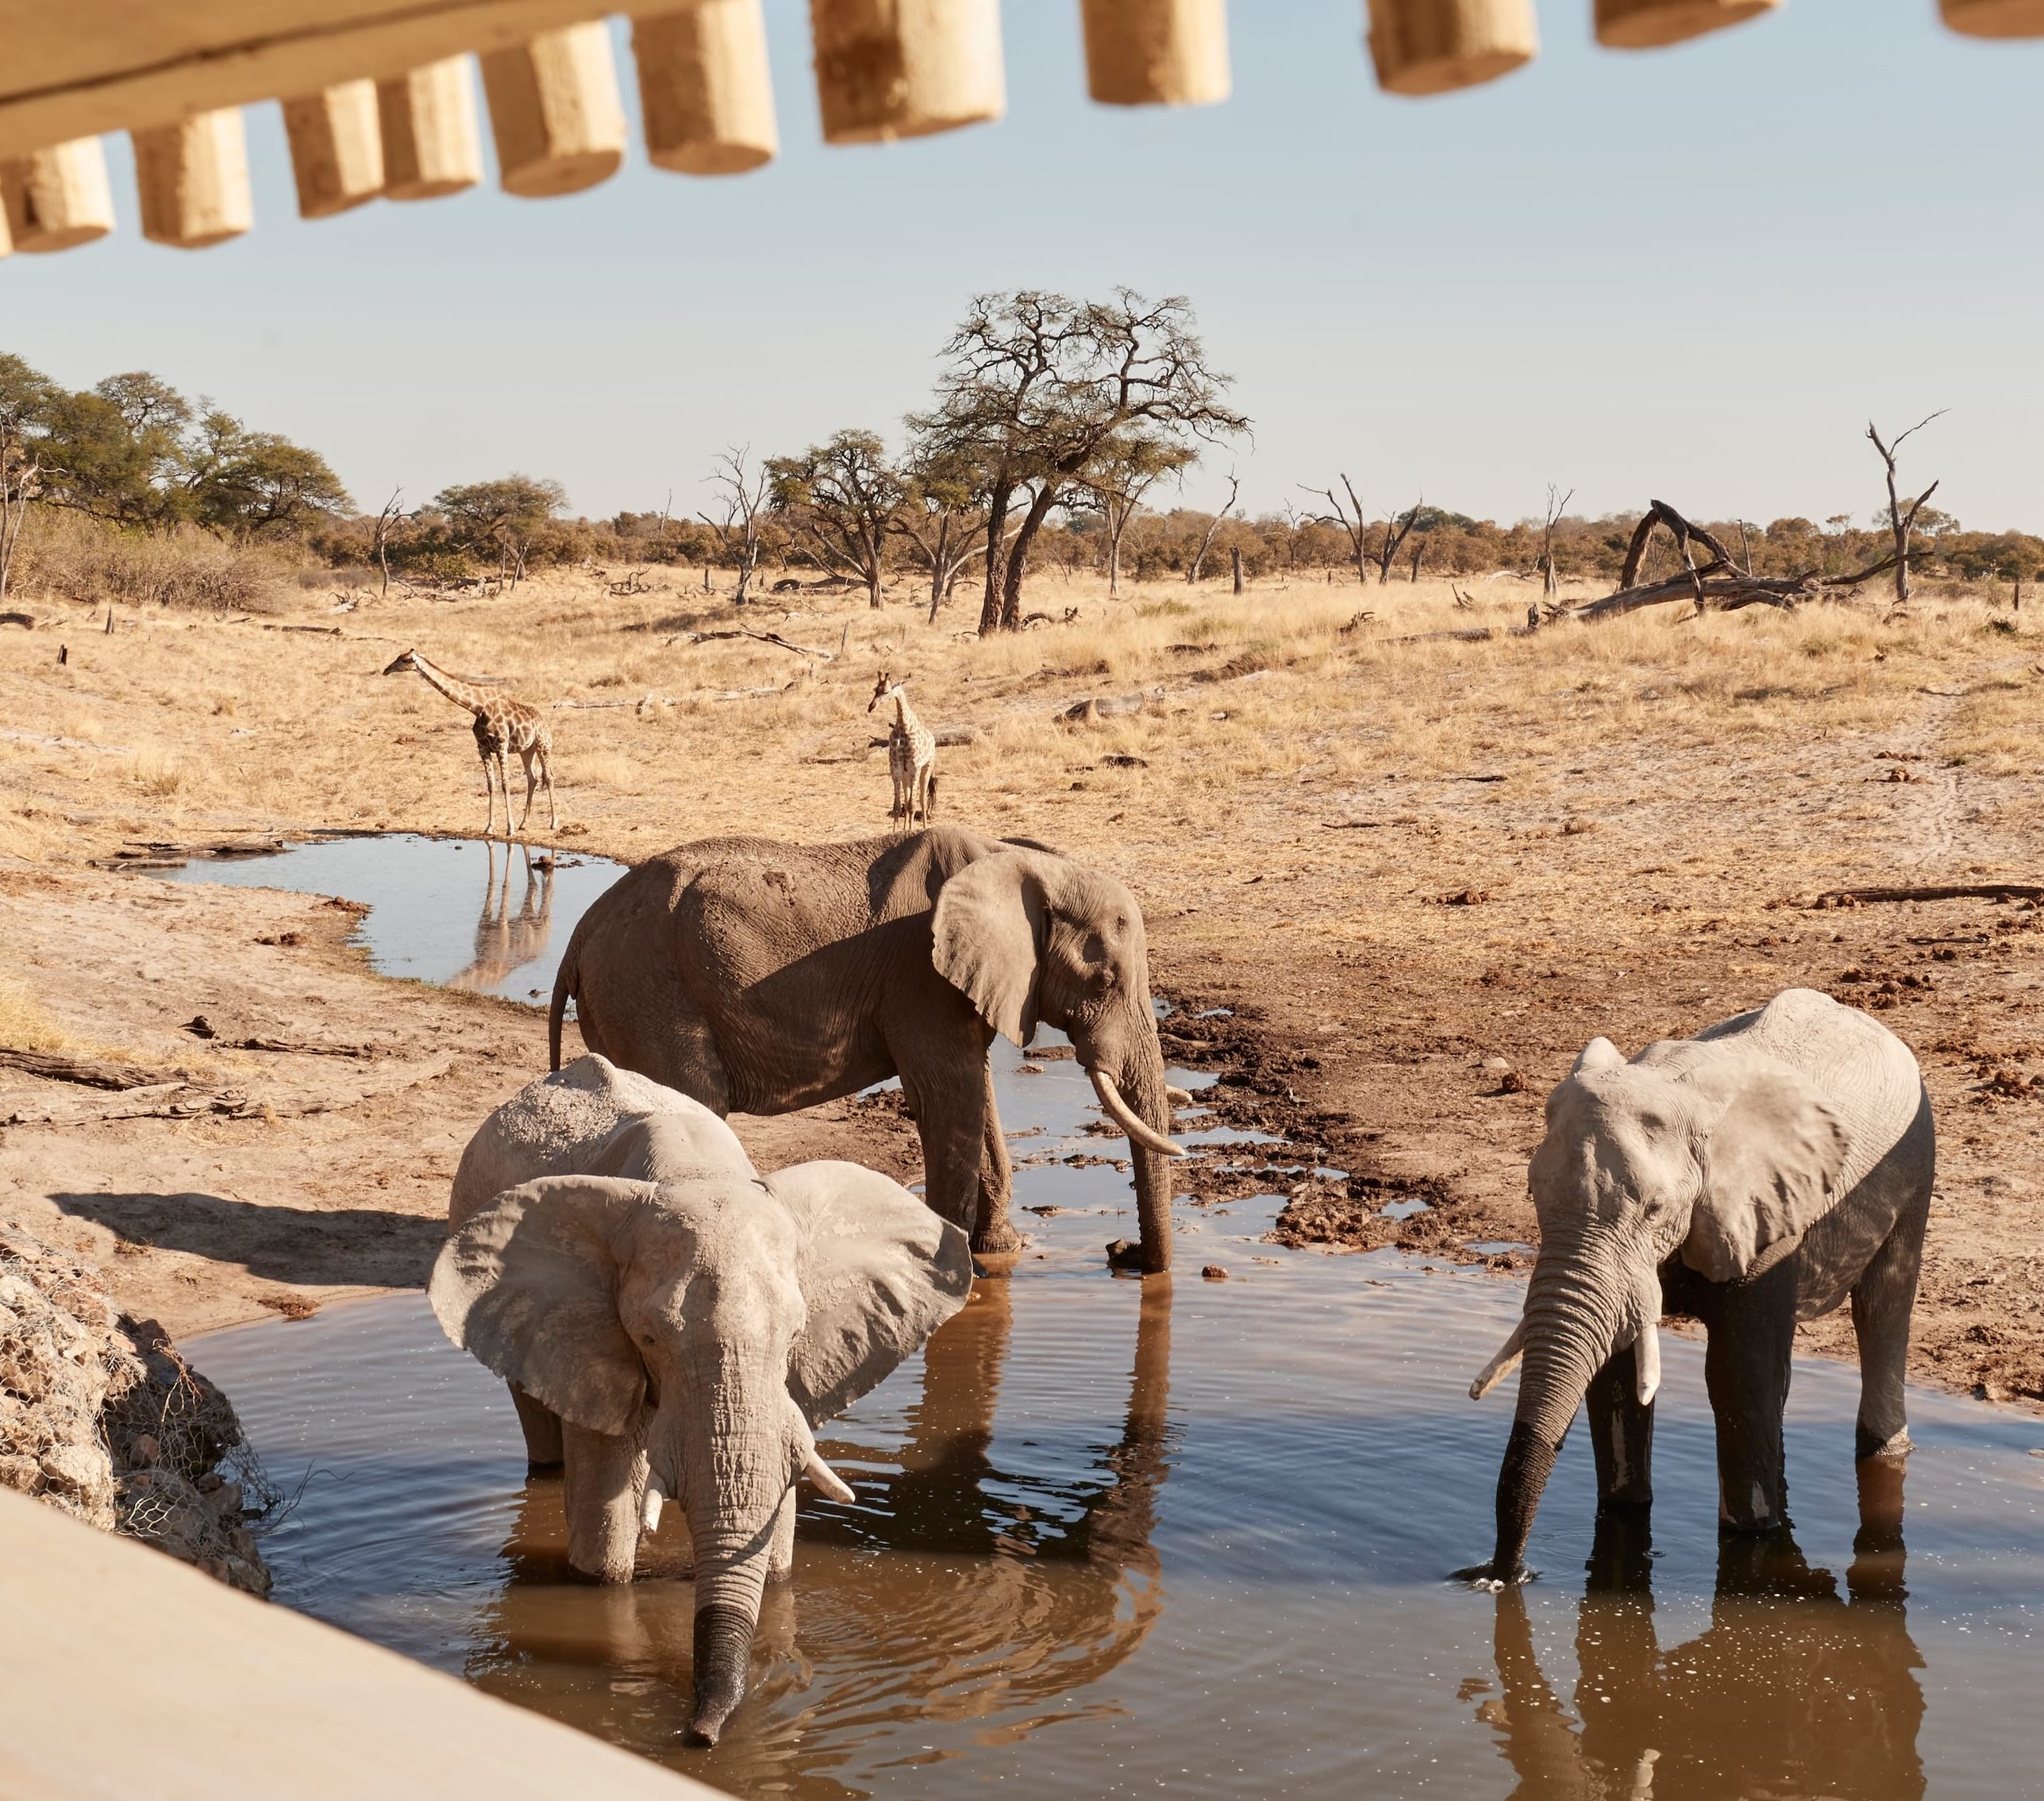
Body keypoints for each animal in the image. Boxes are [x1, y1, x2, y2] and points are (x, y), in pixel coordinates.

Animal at [429, 1055, 973, 1745]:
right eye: (649, 1337)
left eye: (795, 1332)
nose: (699, 1734)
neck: (694, 1174)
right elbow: (604, 1530)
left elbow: (776, 1522)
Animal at [547, 825, 1187, 1272]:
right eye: (1104, 982)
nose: (1122, 1253)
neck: (1014, 859)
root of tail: (577, 937)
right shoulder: (920, 978)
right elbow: (950, 1099)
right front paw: (953, 1267)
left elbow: (975, 1100)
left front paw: (999, 1251)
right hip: (647, 993)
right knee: (690, 1105)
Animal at [1464, 987, 1934, 1584]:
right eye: (1532, 1193)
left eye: (1655, 1208)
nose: (1503, 1575)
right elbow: (1616, 1373)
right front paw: (1624, 1511)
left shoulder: (1765, 1212)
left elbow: (1736, 1373)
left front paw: (1751, 1537)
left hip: (1916, 1159)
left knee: (1882, 1305)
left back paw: (1883, 1448)